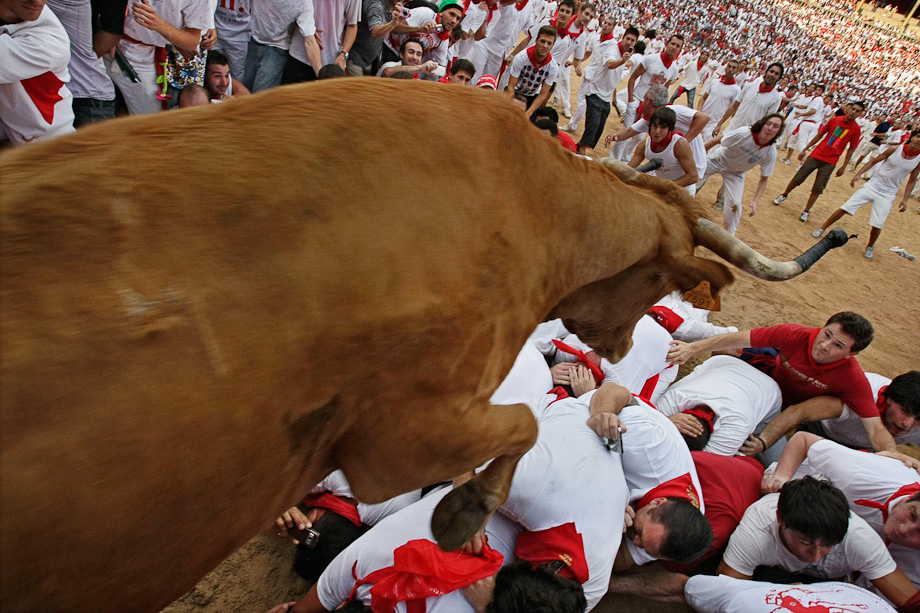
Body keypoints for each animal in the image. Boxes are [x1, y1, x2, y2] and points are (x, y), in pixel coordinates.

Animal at [0, 79, 848, 608]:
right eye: (652, 282)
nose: (621, 338)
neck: (534, 206)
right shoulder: (401, 436)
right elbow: (524, 424)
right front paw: (462, 514)